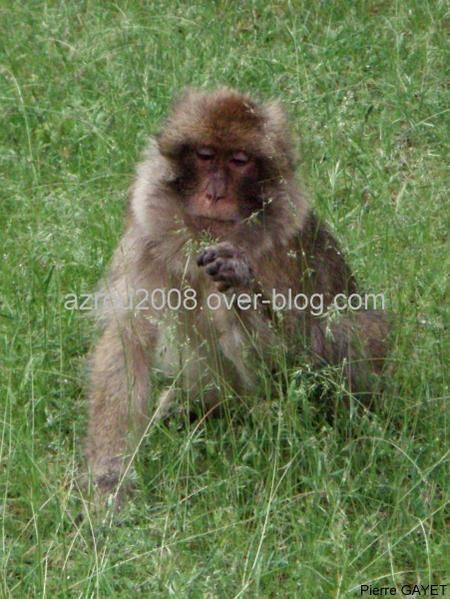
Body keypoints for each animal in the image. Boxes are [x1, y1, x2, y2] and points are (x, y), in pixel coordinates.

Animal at [85, 88, 390, 502]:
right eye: (205, 155)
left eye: (239, 160)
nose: (215, 193)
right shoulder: (144, 236)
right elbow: (129, 338)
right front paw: (109, 480)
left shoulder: (284, 249)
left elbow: (296, 359)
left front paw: (238, 280)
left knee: (359, 328)